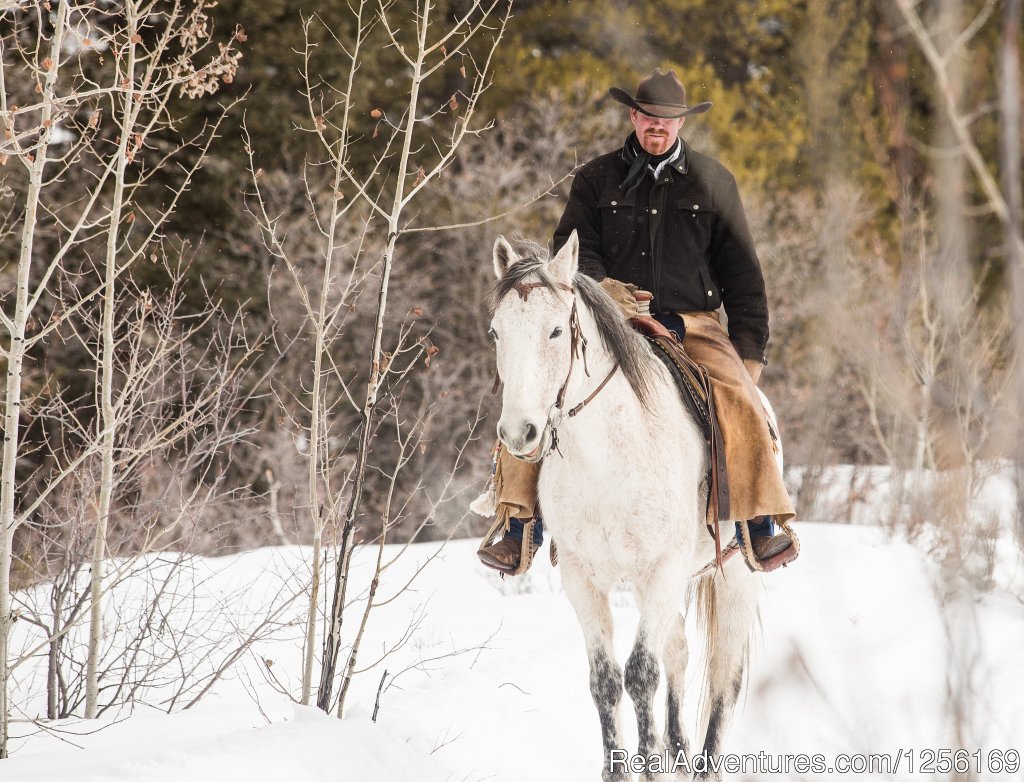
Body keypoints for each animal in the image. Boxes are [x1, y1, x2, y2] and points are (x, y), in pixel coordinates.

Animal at [491, 232, 765, 781]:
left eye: (556, 330)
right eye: (495, 332)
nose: (519, 432)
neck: (607, 458)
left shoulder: (661, 571)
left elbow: (641, 674)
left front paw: (648, 765)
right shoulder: (584, 579)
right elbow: (605, 680)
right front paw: (624, 766)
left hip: (734, 579)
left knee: (723, 679)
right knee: (678, 652)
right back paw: (677, 750)